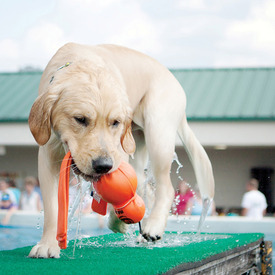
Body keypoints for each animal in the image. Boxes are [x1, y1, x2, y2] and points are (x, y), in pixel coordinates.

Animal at [28, 43, 215, 258]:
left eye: (115, 122)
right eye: (80, 119)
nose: (103, 165)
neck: (81, 61)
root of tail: (175, 80)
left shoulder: (118, 151)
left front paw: (118, 221)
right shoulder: (48, 153)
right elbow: (52, 207)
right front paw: (47, 244)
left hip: (158, 131)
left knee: (165, 186)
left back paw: (153, 226)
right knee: (146, 187)